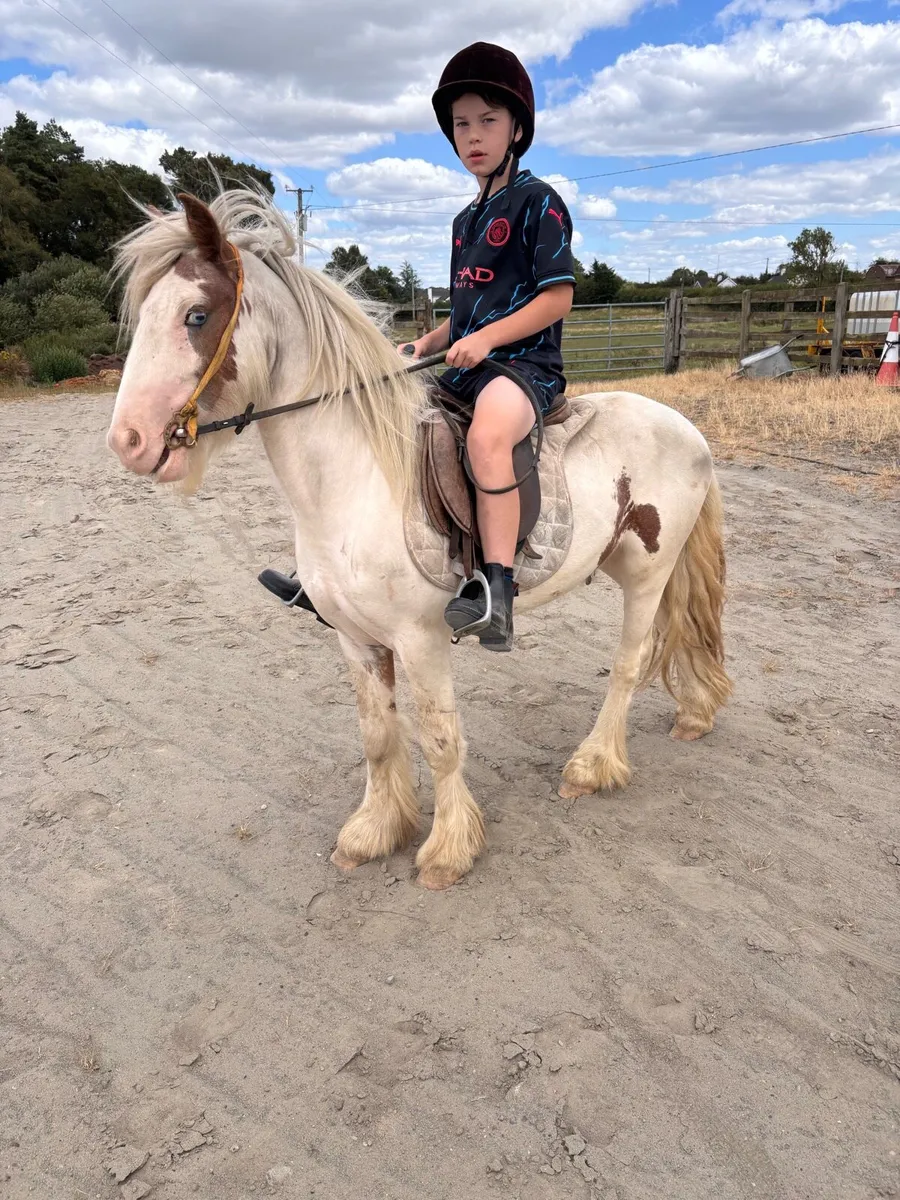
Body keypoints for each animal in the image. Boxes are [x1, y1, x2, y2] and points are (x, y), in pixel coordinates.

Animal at [106, 188, 732, 890]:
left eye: (195, 314)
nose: (127, 441)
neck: (354, 479)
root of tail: (688, 428)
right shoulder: (356, 639)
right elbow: (378, 735)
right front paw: (374, 832)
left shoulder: (421, 638)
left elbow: (439, 737)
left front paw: (448, 850)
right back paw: (692, 714)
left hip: (649, 574)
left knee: (629, 663)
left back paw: (591, 766)